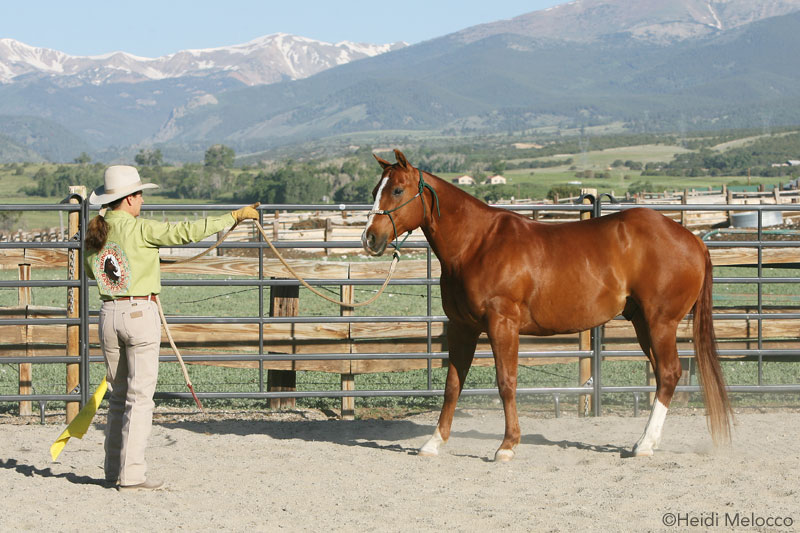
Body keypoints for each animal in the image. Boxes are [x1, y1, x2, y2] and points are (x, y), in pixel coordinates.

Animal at [362, 149, 733, 461]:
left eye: (397, 190)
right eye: (375, 190)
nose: (370, 238)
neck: (476, 244)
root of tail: (693, 239)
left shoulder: (502, 324)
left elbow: (506, 381)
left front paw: (507, 446)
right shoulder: (461, 327)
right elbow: (453, 384)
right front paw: (434, 442)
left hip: (660, 322)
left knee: (669, 373)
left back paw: (643, 445)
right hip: (644, 323)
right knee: (661, 375)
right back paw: (647, 442)